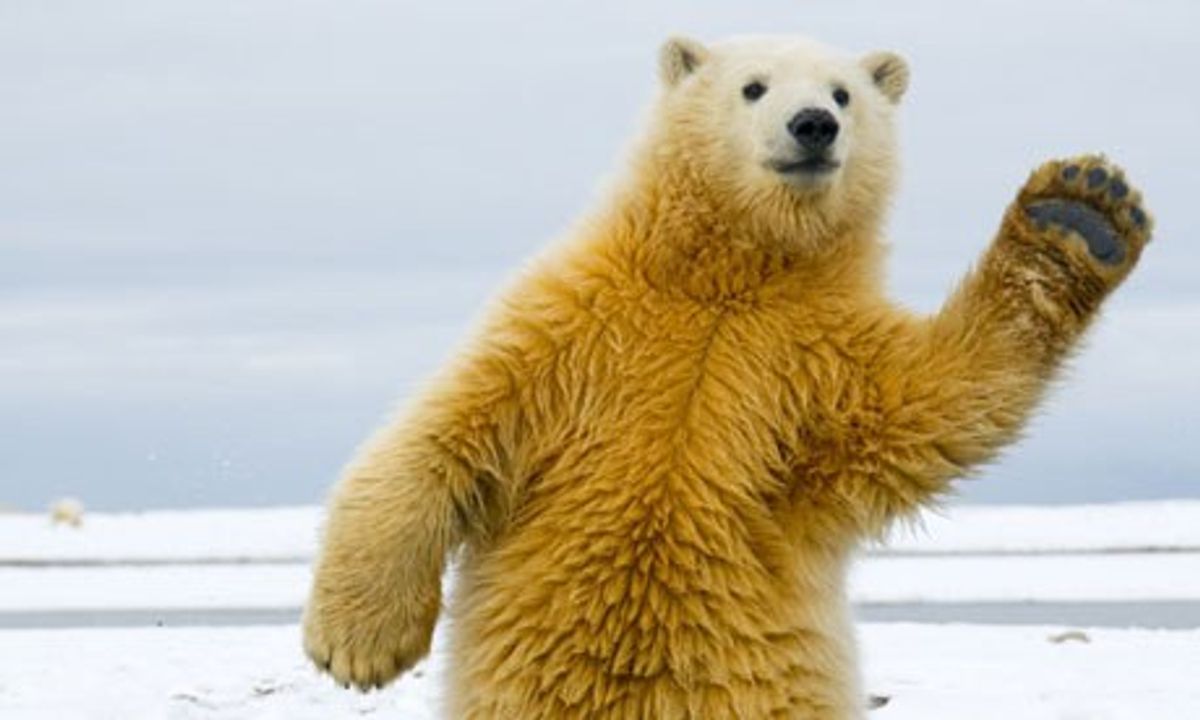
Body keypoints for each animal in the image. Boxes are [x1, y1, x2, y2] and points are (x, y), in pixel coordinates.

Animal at [303, 34, 1153, 719]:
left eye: (843, 92)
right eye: (753, 85)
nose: (814, 125)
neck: (727, 281)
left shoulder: (816, 354)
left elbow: (933, 399)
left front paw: (1082, 209)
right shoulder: (575, 322)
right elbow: (445, 430)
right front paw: (359, 646)